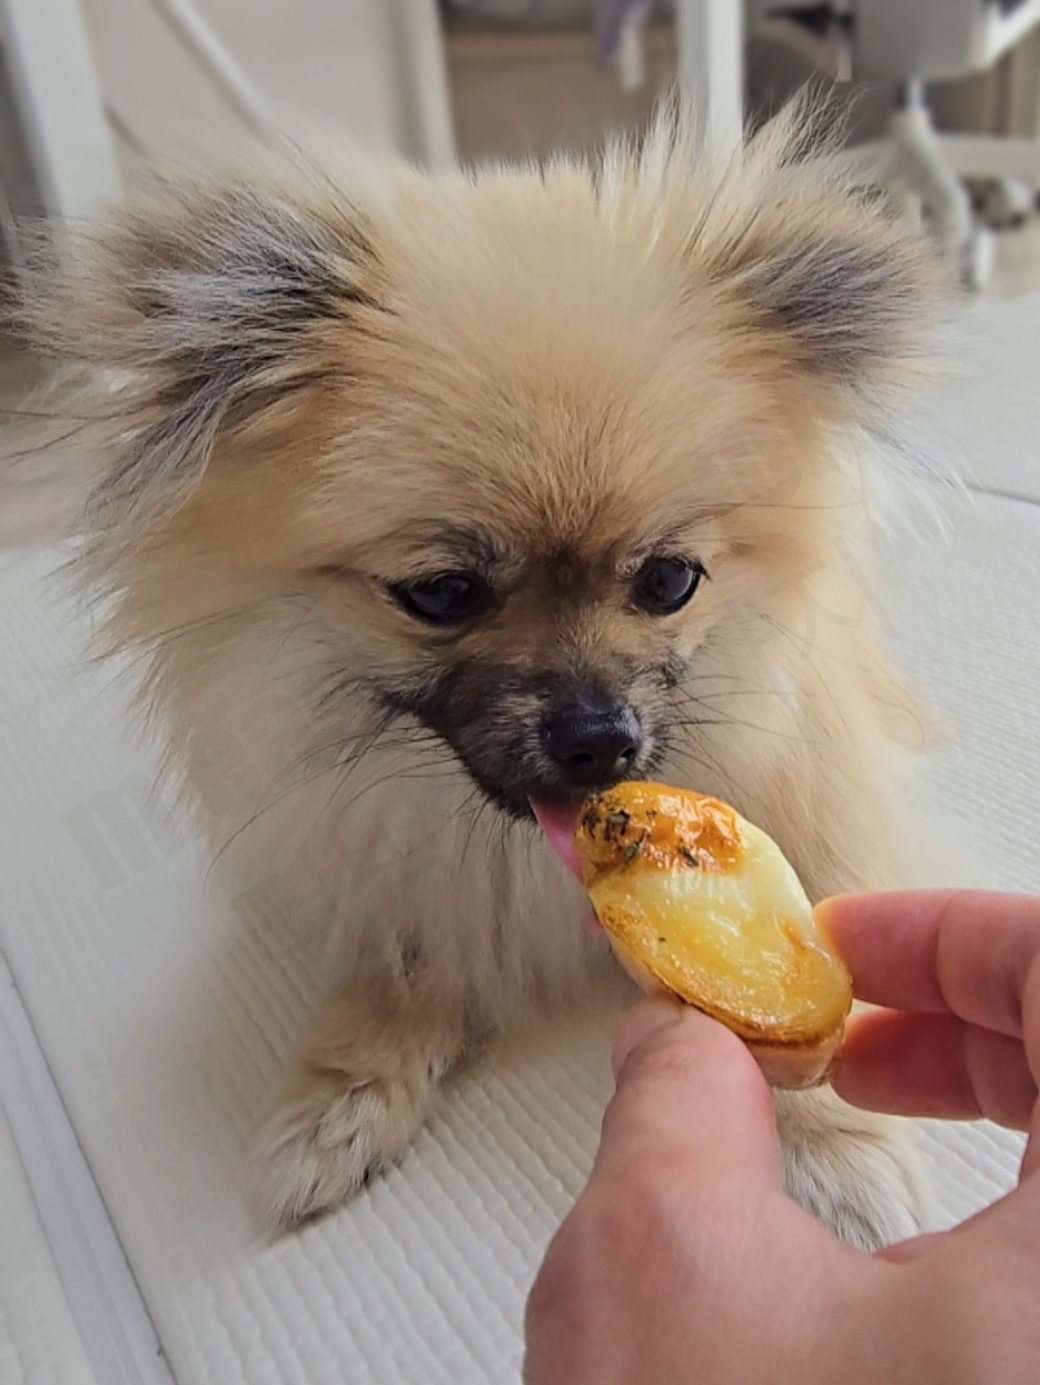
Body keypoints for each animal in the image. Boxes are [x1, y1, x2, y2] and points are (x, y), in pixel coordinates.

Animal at [16, 102, 941, 1240]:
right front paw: (340, 1097)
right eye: (444, 593)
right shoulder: (392, 873)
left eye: (669, 579)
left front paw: (843, 1149)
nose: (600, 738)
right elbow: (396, 969)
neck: (519, 862)